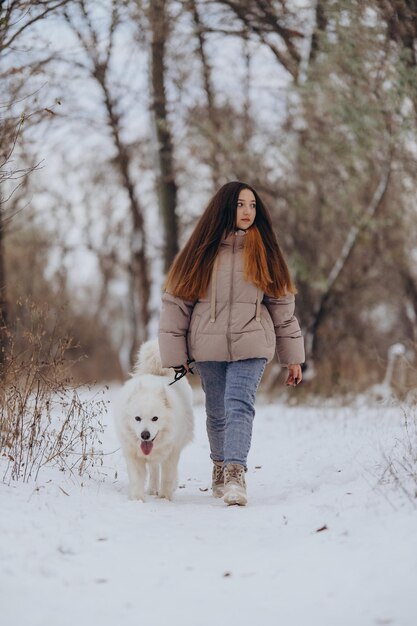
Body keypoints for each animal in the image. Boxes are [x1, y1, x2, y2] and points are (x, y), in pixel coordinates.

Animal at [112, 338, 193, 500]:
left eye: (155, 418)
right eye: (137, 418)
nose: (145, 435)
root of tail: (155, 372)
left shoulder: (171, 453)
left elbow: (167, 477)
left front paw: (165, 498)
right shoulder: (133, 454)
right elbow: (137, 478)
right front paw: (137, 499)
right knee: (154, 469)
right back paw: (152, 489)